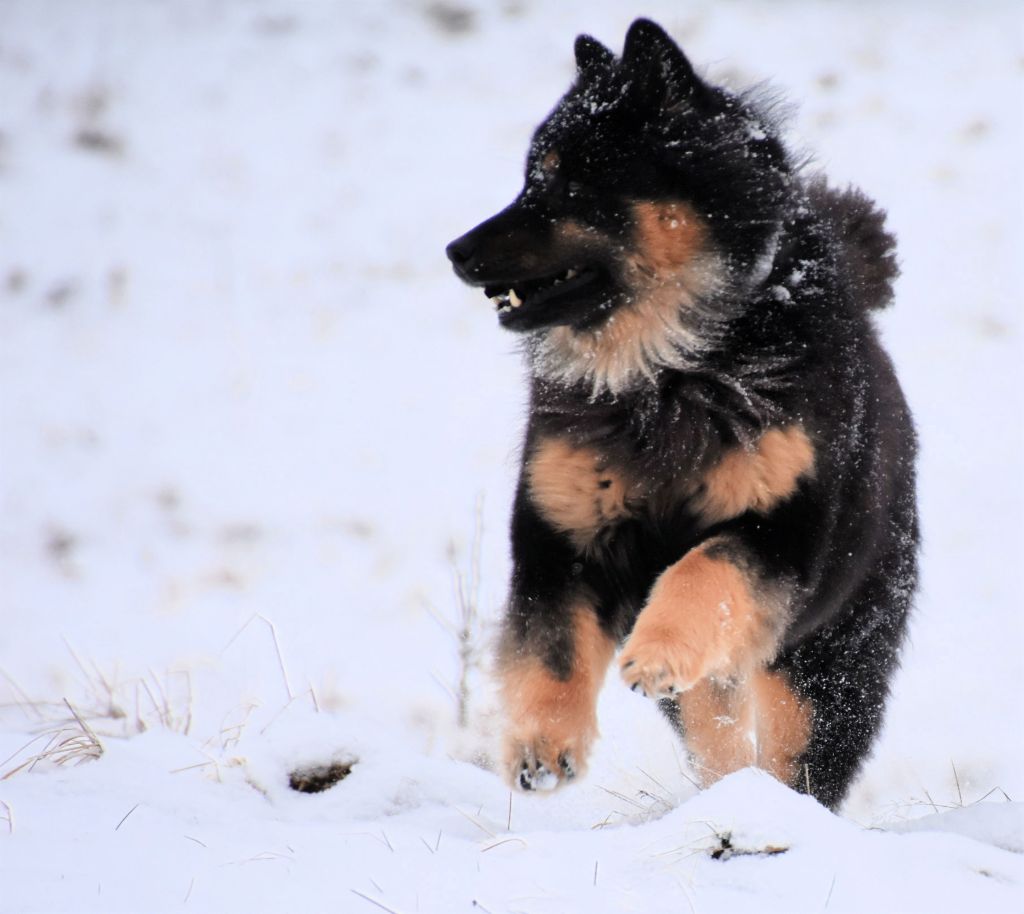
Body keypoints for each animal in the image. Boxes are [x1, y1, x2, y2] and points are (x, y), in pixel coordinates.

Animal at [446, 19, 917, 809]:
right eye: (529, 177)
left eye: (569, 182)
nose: (456, 250)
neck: (668, 371)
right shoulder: (563, 532)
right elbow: (554, 647)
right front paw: (543, 746)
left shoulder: (780, 529)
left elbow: (703, 568)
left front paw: (658, 649)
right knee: (716, 735)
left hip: (830, 655)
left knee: (799, 755)